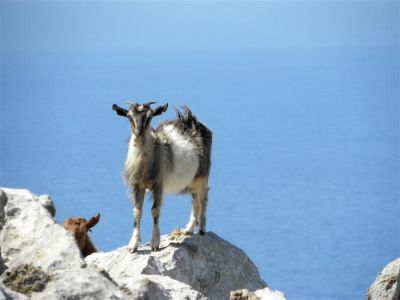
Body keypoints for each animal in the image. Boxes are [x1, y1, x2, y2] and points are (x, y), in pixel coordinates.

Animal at [112, 102, 212, 252]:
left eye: (150, 116)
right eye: (129, 116)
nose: (139, 132)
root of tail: (191, 120)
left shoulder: (159, 184)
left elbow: (155, 210)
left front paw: (155, 244)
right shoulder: (138, 185)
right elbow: (137, 211)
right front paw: (133, 245)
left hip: (202, 175)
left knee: (203, 199)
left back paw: (201, 229)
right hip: (191, 180)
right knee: (195, 202)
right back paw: (188, 229)